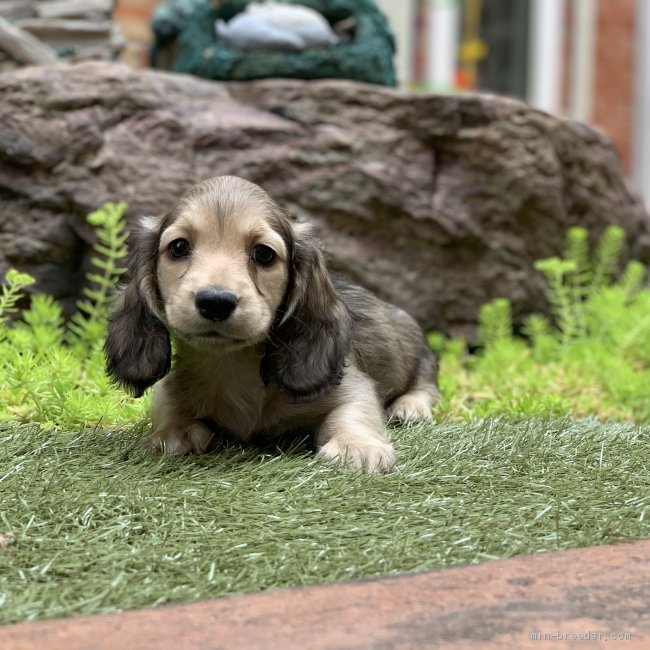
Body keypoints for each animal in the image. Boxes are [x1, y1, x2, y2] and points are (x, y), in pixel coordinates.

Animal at [106, 176, 438, 470]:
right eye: (178, 247)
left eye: (263, 254)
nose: (215, 301)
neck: (232, 366)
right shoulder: (170, 389)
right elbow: (170, 409)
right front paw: (174, 433)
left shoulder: (351, 386)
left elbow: (353, 412)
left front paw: (355, 446)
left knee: (426, 385)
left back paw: (410, 407)